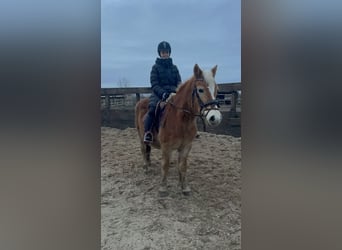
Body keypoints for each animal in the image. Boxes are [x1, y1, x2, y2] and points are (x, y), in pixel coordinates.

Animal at [134, 63, 222, 196]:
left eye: (216, 90)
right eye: (200, 90)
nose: (214, 117)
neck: (181, 120)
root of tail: (141, 101)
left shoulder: (186, 146)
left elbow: (182, 166)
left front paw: (184, 187)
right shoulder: (166, 147)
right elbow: (165, 165)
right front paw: (163, 188)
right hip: (141, 136)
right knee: (144, 150)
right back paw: (146, 167)